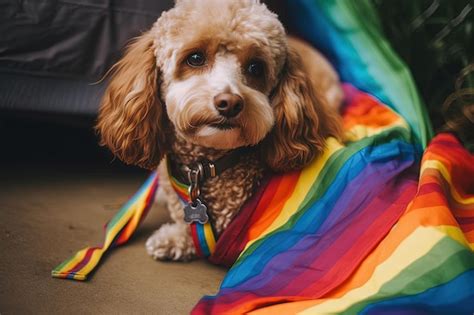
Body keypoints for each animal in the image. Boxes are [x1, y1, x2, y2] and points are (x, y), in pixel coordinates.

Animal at [97, 0, 340, 262]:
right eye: (195, 58)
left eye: (256, 68)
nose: (230, 103)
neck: (206, 167)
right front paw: (172, 236)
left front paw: (171, 238)